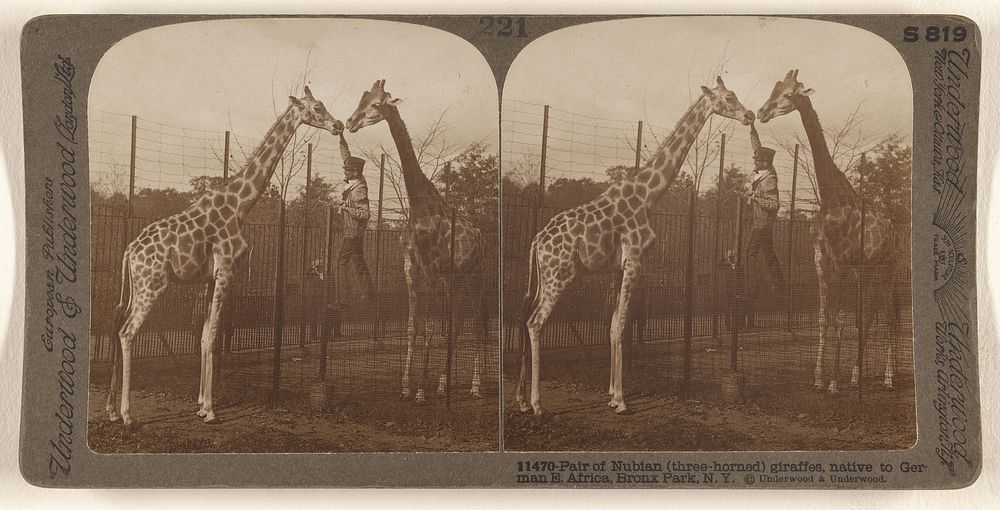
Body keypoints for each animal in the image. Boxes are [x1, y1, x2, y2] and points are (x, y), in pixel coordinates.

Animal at [103, 87, 342, 426]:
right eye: (318, 107)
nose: (338, 125)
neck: (241, 204)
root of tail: (128, 250)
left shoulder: (209, 278)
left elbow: (204, 335)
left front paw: (201, 404)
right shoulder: (227, 270)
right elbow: (213, 336)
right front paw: (211, 410)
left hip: (136, 286)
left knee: (116, 326)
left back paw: (111, 410)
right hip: (153, 285)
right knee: (127, 332)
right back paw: (127, 414)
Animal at [344, 78, 492, 402]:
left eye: (376, 104)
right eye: (362, 100)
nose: (349, 122)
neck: (421, 207)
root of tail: (481, 235)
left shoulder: (436, 272)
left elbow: (432, 330)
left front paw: (422, 390)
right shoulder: (412, 270)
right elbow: (415, 328)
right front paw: (407, 387)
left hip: (475, 277)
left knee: (475, 324)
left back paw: (475, 386)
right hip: (458, 280)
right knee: (459, 323)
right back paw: (445, 383)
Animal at [516, 77, 752, 416]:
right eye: (730, 97)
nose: (750, 115)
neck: (648, 194)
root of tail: (537, 240)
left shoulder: (618, 267)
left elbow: (614, 325)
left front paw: (612, 394)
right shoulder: (636, 260)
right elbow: (622, 326)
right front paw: (622, 401)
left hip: (541, 277)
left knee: (524, 318)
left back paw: (521, 400)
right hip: (560, 275)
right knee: (536, 322)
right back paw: (537, 404)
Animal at [756, 69, 908, 392]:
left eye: (789, 95)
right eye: (775, 89)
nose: (761, 112)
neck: (832, 199)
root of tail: (893, 229)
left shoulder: (843, 262)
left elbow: (842, 319)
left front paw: (834, 383)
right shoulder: (822, 262)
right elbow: (826, 318)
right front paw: (819, 378)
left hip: (886, 268)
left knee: (886, 316)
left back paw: (887, 378)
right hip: (869, 271)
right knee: (871, 314)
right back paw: (859, 375)